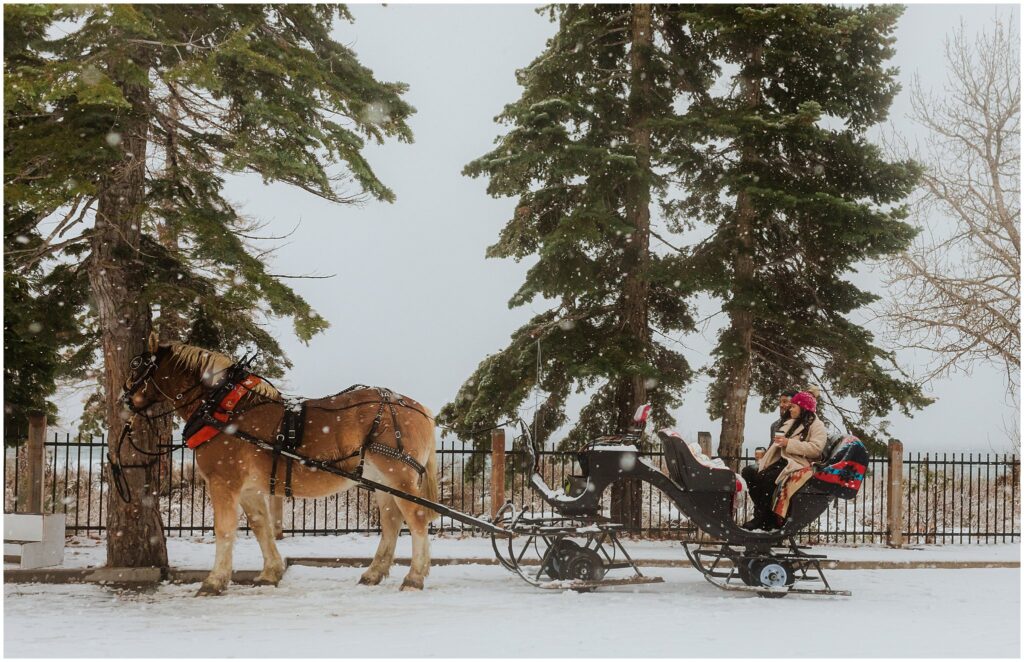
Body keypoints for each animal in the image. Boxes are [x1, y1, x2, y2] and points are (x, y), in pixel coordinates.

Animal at [120, 334, 440, 598]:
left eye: (137, 366)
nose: (124, 399)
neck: (222, 407)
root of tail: (420, 408)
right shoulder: (249, 490)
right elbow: (260, 525)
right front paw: (270, 573)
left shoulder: (223, 482)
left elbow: (224, 529)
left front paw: (214, 581)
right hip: (383, 482)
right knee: (392, 521)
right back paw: (375, 572)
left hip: (398, 476)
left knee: (417, 518)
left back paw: (414, 576)